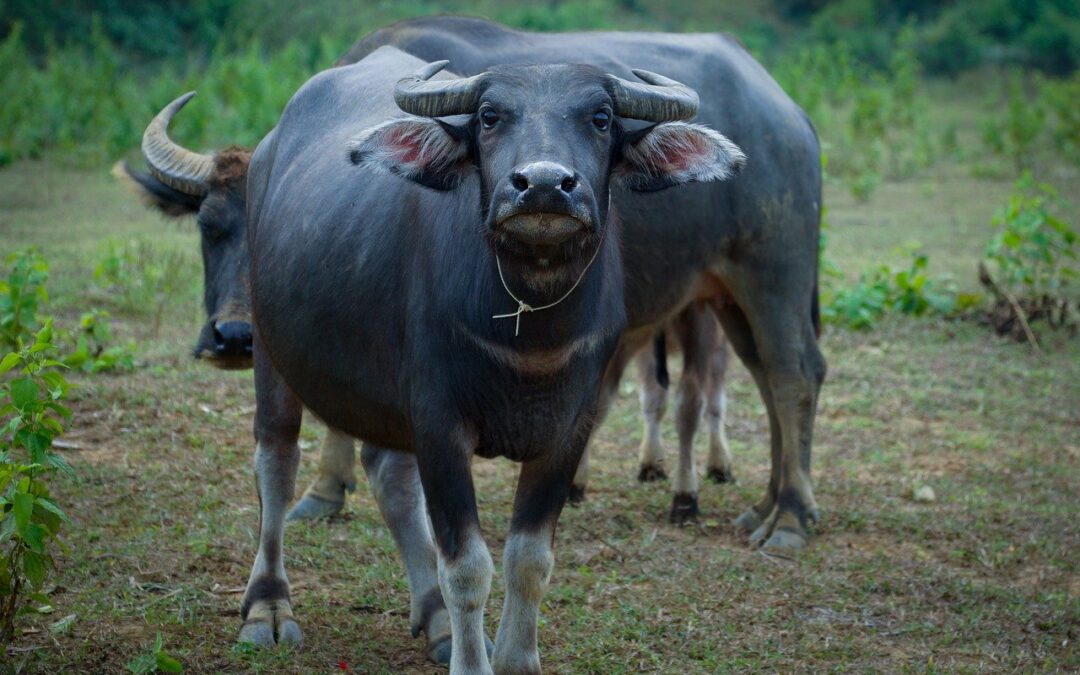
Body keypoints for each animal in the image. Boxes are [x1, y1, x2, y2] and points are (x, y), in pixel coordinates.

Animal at [236, 44, 743, 669]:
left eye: (601, 118)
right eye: (489, 116)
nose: (544, 185)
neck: (529, 333)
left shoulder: (569, 429)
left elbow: (529, 559)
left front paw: (515, 660)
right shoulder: (439, 424)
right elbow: (467, 566)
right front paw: (472, 660)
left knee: (390, 478)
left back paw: (435, 621)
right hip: (269, 348)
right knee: (276, 464)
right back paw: (268, 607)